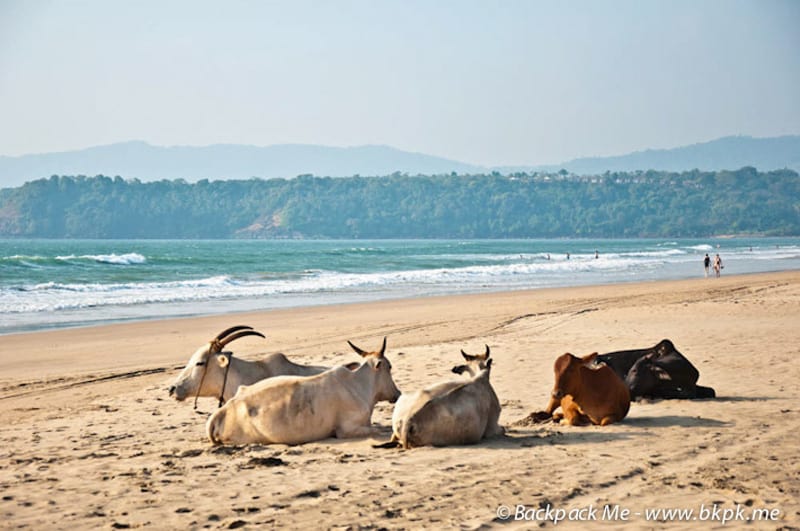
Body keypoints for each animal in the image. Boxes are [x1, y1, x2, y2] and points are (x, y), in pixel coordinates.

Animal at [205, 338, 400, 446]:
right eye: (389, 367)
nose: (398, 394)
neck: (359, 384)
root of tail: (222, 411)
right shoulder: (347, 429)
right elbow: (378, 430)